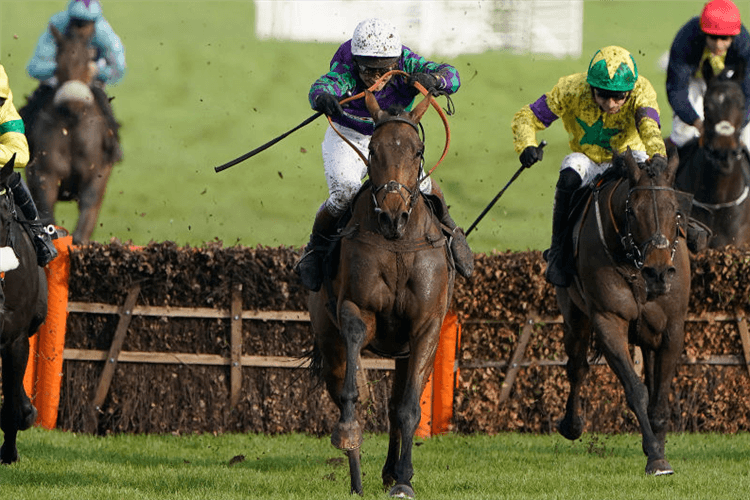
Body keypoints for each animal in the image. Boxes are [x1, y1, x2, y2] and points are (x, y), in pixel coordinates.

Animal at [26, 24, 117, 244]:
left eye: (87, 60)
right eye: (59, 61)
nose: (72, 103)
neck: (72, 126)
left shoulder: (96, 176)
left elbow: (82, 230)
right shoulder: (44, 176)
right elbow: (47, 217)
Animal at [310, 91, 456, 496]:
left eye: (417, 150)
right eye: (373, 149)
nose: (392, 216)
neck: (397, 245)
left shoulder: (426, 327)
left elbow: (408, 407)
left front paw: (403, 480)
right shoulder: (355, 308)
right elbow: (353, 389)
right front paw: (347, 432)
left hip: (408, 352)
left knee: (396, 403)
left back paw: (391, 471)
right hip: (327, 337)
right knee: (340, 383)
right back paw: (356, 475)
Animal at [560, 149, 692, 476]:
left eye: (676, 211)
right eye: (632, 211)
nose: (658, 273)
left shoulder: (672, 328)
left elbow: (659, 399)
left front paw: (658, 448)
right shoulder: (609, 321)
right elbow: (636, 390)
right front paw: (655, 456)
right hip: (574, 315)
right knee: (577, 366)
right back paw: (572, 424)